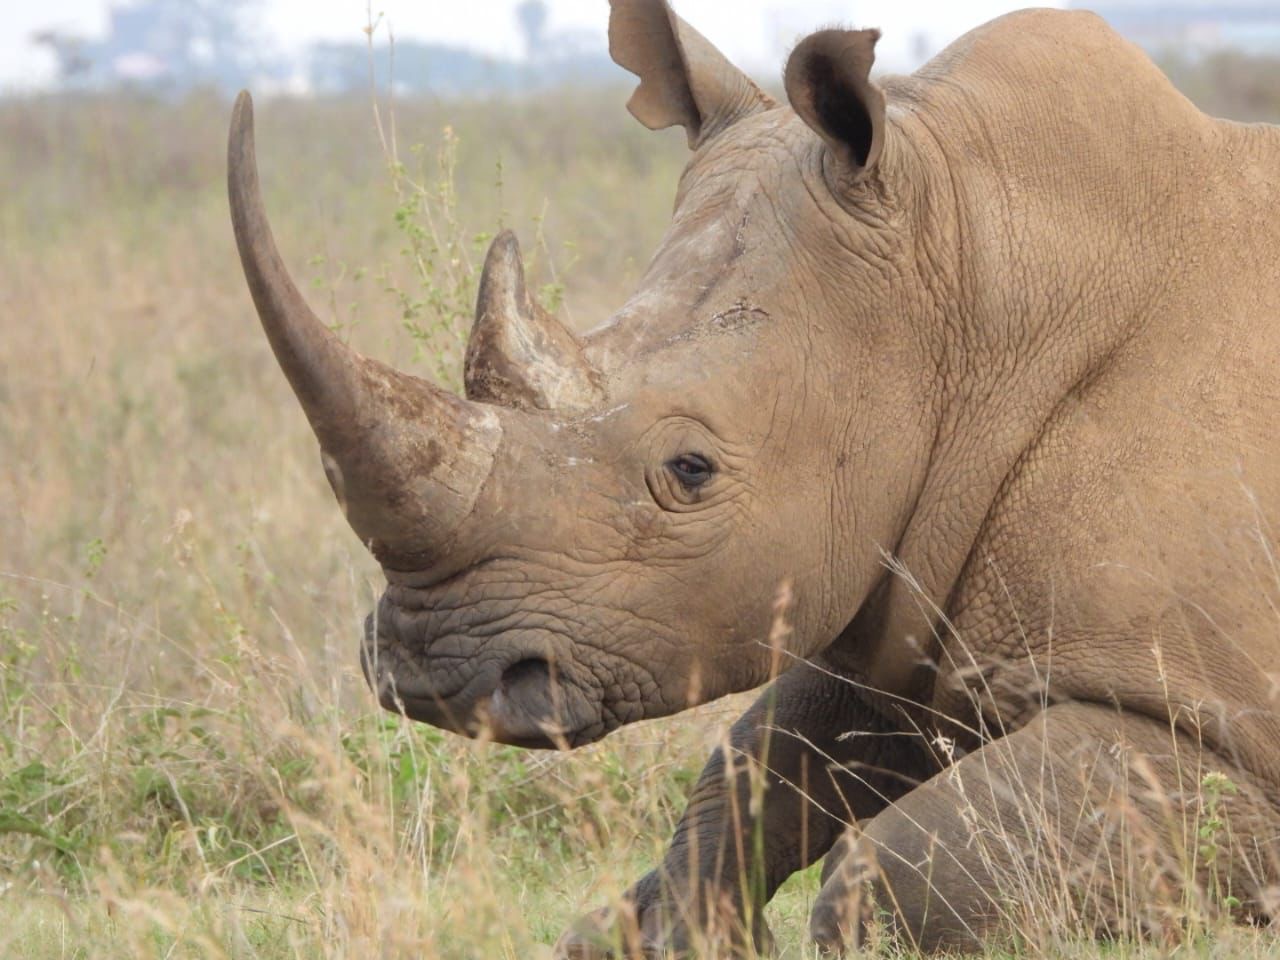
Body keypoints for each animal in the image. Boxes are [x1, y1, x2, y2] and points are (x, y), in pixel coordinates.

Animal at [228, 1, 1280, 954]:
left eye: (689, 471)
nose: (430, 673)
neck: (969, 289)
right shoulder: (896, 591)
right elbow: (754, 765)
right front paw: (655, 928)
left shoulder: (1222, 727)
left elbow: (903, 873)